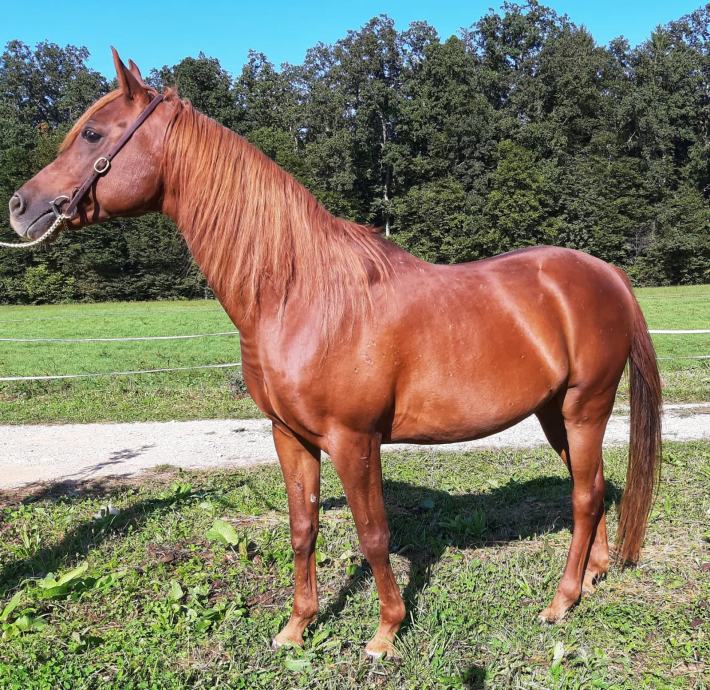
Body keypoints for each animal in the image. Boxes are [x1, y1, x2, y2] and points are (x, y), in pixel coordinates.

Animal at [7, 50, 662, 658]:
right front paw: (297, 627)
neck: (298, 295)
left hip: (585, 406)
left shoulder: (353, 440)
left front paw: (385, 633)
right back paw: (594, 575)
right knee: (591, 485)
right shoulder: (290, 436)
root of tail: (606, 273)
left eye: (94, 134)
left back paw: (561, 601)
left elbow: (373, 534)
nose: (20, 206)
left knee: (584, 495)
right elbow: (304, 527)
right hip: (554, 413)